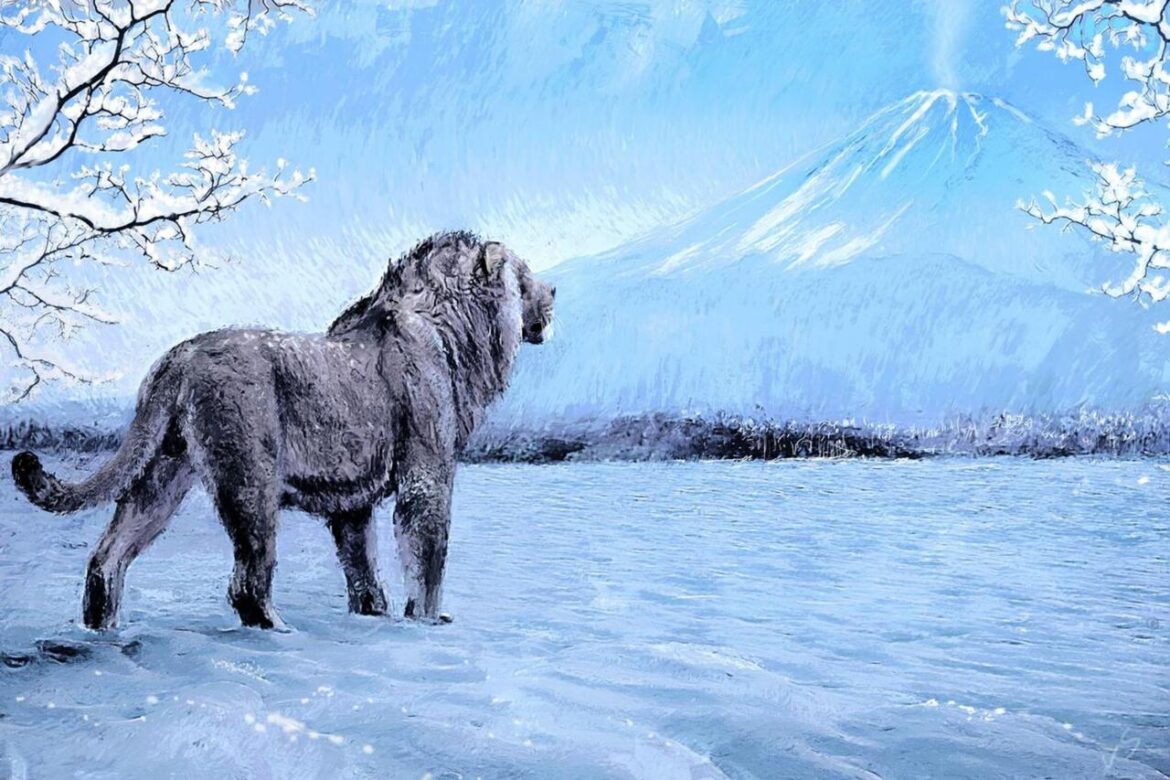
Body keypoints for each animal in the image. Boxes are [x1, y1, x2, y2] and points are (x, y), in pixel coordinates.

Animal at [11, 231, 555, 630]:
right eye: (525, 277)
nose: (554, 295)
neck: (456, 333)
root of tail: (179, 357)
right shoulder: (427, 472)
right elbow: (428, 552)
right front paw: (428, 620)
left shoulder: (352, 502)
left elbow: (361, 566)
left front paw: (373, 615)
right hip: (249, 478)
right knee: (248, 582)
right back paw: (280, 629)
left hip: (161, 474)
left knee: (108, 558)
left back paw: (102, 628)